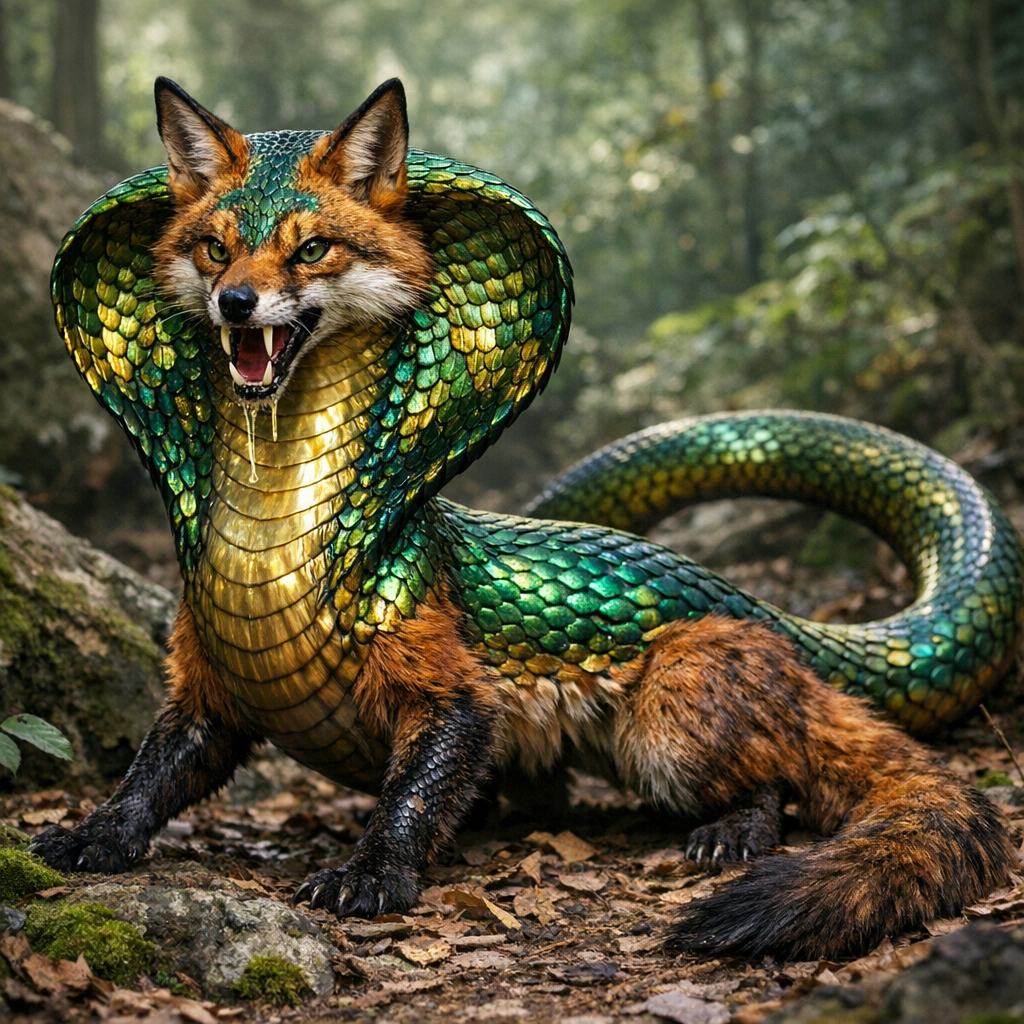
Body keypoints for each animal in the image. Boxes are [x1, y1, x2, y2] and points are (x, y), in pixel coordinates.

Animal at [31, 76, 1021, 962]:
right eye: (212, 249)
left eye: (311, 250)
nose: (236, 303)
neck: (293, 536)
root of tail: (765, 623)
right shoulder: (210, 680)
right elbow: (156, 769)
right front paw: (95, 835)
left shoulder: (453, 682)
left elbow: (422, 786)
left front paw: (372, 872)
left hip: (670, 705)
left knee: (778, 778)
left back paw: (734, 829)